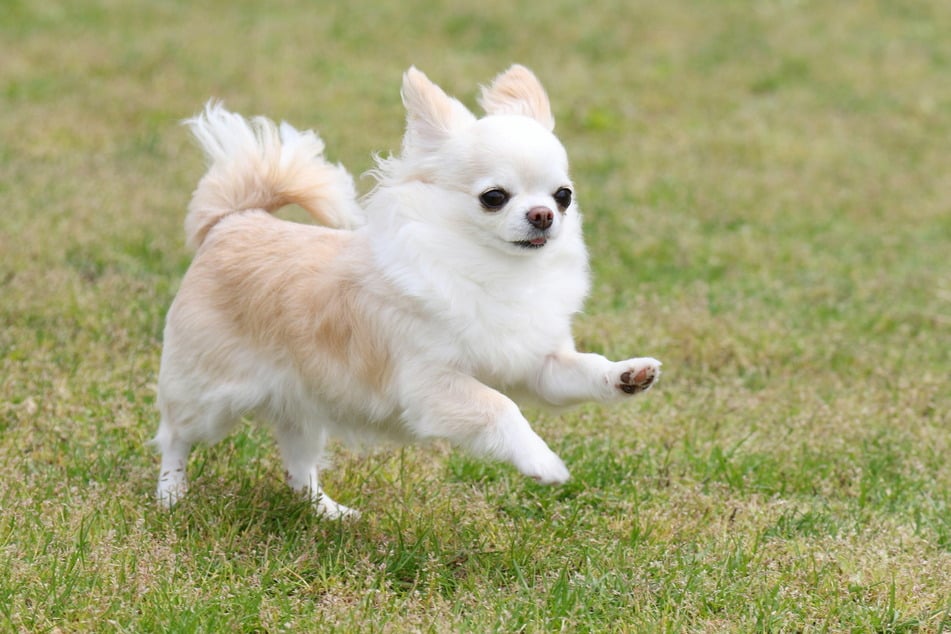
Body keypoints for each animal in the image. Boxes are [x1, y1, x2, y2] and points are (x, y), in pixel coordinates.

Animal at [156, 66, 660, 516]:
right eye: (494, 197)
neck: (494, 269)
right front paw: (542, 461)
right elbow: (500, 406)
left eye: (563, 195)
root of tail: (234, 220)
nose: (543, 215)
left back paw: (328, 512)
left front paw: (626, 374)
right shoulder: (431, 385)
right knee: (175, 436)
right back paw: (171, 496)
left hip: (303, 405)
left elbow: (580, 369)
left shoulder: (537, 367)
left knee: (299, 466)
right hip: (207, 396)